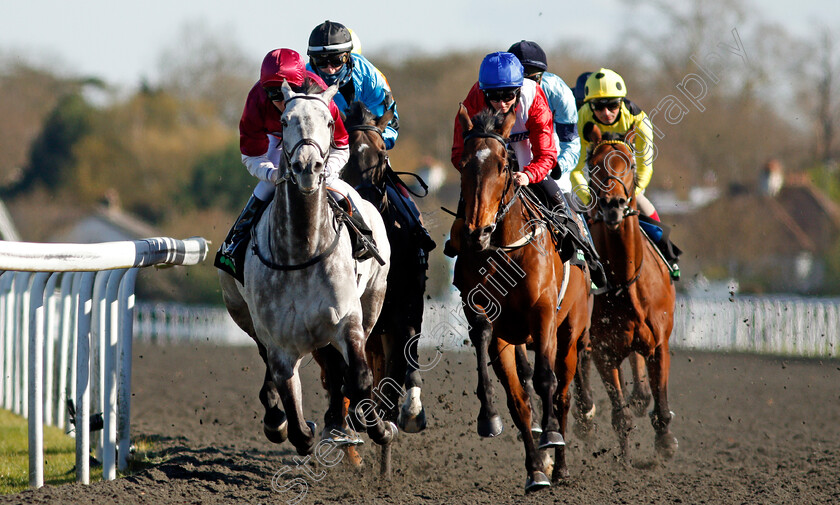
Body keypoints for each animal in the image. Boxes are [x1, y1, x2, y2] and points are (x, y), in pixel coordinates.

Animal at [452, 105, 592, 488]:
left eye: (503, 166)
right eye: (463, 163)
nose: (477, 232)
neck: (505, 248)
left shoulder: (542, 312)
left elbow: (546, 380)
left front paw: (551, 439)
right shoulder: (488, 319)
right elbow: (516, 399)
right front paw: (531, 467)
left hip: (570, 333)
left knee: (561, 394)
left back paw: (560, 463)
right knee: (526, 396)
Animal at [580, 122, 680, 460]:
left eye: (631, 164)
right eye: (594, 166)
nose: (614, 206)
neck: (625, 281)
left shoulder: (659, 342)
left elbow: (660, 401)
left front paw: (665, 441)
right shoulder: (602, 350)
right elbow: (619, 416)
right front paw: (623, 463)